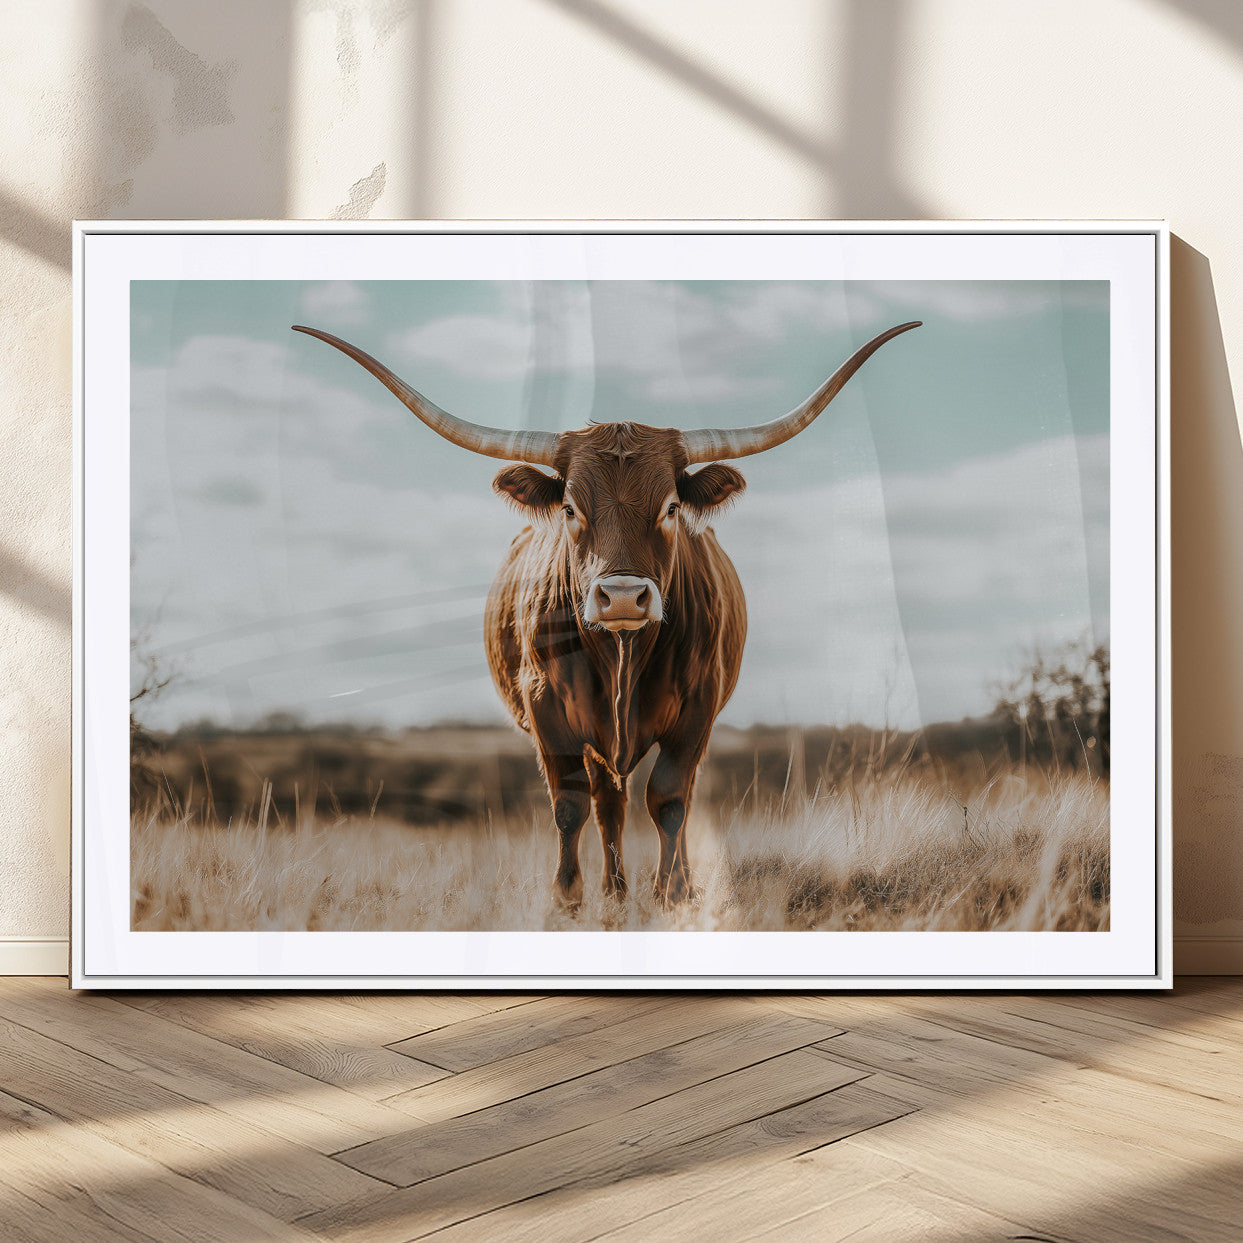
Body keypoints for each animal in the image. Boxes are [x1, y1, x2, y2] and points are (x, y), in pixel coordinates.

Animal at [292, 319, 920, 908]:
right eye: (571, 507)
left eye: (671, 507)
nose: (620, 597)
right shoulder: (546, 706)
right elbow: (572, 804)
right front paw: (569, 897)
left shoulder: (698, 709)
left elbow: (669, 799)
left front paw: (672, 892)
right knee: (607, 803)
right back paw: (614, 891)